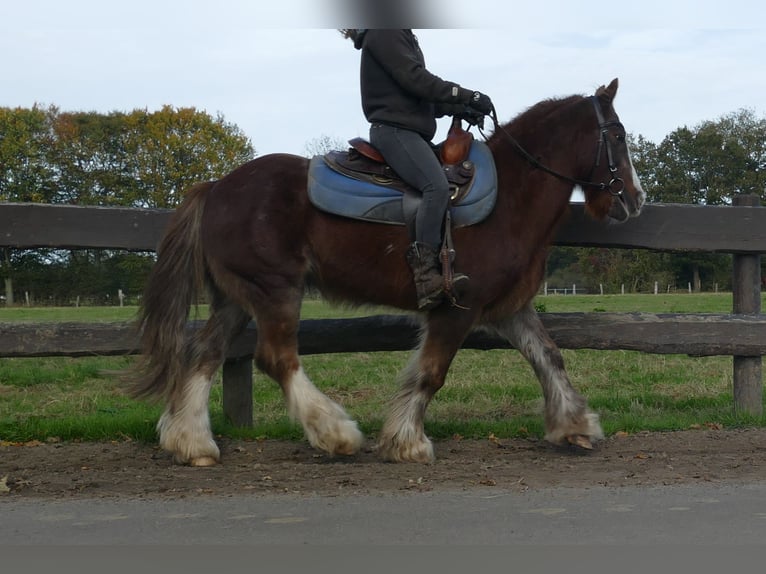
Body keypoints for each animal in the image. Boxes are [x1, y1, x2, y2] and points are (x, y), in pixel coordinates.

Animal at [132, 77, 648, 468]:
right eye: (618, 136)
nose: (634, 198)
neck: (512, 194)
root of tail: (216, 186)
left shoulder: (508, 308)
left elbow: (549, 357)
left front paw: (574, 425)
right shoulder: (456, 309)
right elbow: (432, 373)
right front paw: (406, 441)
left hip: (237, 298)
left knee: (204, 354)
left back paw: (192, 442)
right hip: (275, 291)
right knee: (277, 359)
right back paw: (335, 433)